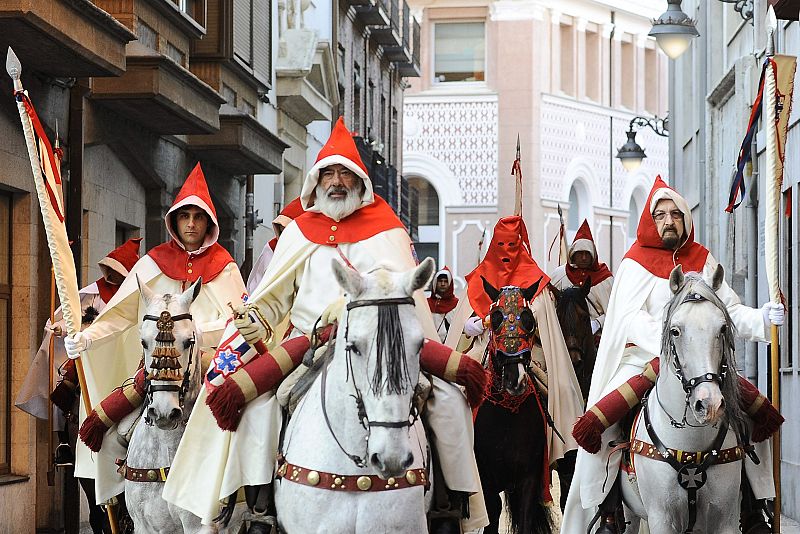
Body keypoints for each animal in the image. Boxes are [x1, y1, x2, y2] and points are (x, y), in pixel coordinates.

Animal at [472, 278, 552, 534]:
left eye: (528, 318)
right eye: (495, 317)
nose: (514, 379)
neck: (507, 414)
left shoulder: (529, 477)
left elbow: (525, 518)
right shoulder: (486, 479)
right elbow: (492, 515)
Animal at [620, 268, 748, 534]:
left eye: (722, 328)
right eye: (675, 330)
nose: (709, 404)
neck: (692, 446)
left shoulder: (726, 519)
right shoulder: (662, 518)